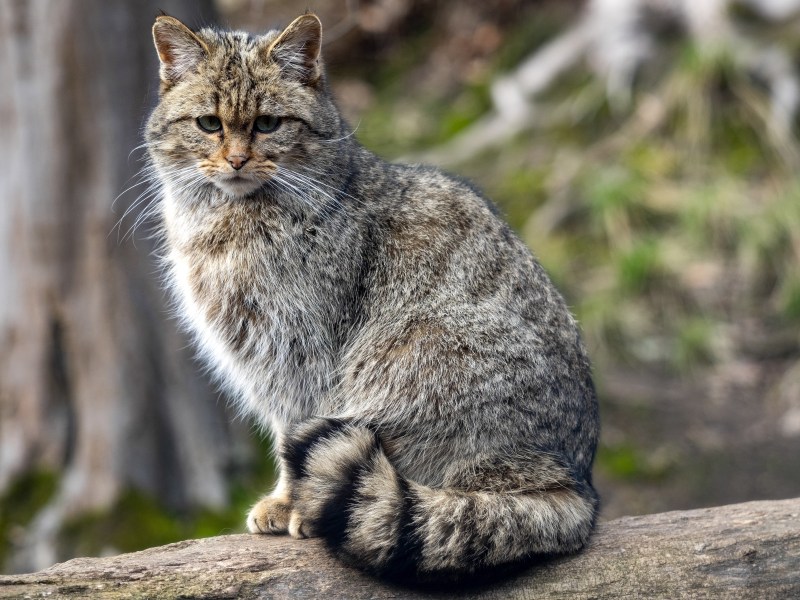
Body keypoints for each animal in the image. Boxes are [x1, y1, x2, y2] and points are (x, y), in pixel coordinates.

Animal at [148, 12, 600, 580]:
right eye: (209, 124)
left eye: (268, 124)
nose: (235, 160)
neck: (229, 221)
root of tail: (574, 483)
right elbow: (283, 429)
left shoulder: (305, 352)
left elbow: (294, 431)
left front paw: (292, 502)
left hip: (415, 359)